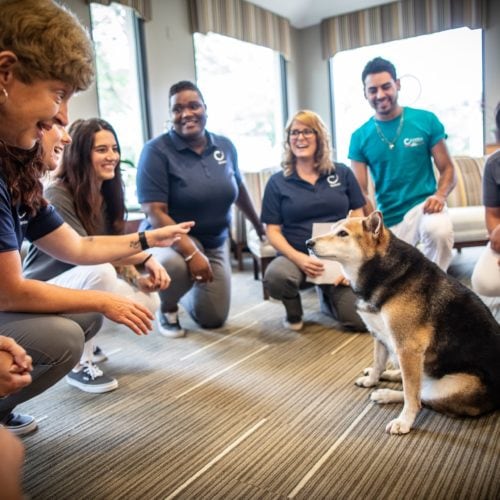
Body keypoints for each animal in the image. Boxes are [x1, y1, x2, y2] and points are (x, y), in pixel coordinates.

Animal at [304, 211, 500, 434]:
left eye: (343, 234)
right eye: (330, 229)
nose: (308, 243)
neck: (381, 274)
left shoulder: (408, 348)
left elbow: (410, 394)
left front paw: (404, 421)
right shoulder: (379, 335)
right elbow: (378, 363)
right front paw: (372, 379)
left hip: (452, 385)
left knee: (421, 396)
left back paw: (388, 395)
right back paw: (388, 378)